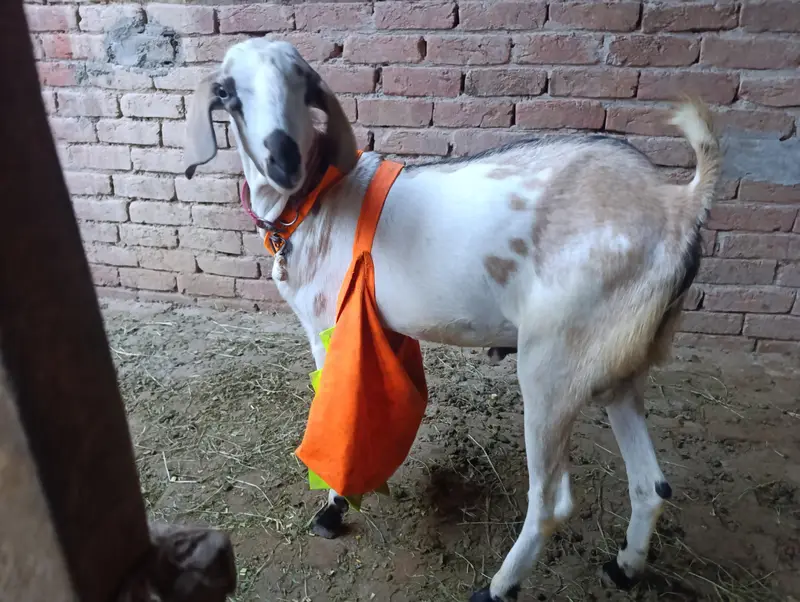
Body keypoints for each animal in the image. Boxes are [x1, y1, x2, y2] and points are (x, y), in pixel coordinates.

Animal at [183, 38, 721, 602]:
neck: (316, 201)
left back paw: (497, 587)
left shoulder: (328, 330)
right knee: (651, 485)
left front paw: (333, 509)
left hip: (554, 363)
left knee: (552, 500)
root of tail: (679, 205)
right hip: (617, 365)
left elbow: (336, 416)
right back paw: (625, 566)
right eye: (228, 93)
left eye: (302, 84)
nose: (282, 159)